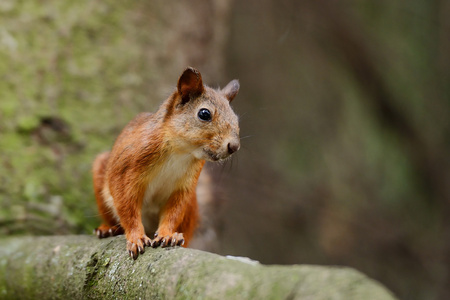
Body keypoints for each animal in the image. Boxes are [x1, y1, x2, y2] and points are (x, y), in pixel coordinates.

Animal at [91, 67, 239, 258]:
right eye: (204, 114)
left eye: (236, 118)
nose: (234, 146)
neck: (180, 151)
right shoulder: (127, 171)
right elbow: (127, 208)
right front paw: (136, 238)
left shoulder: (184, 187)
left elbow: (173, 212)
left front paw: (168, 235)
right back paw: (108, 229)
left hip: (191, 206)